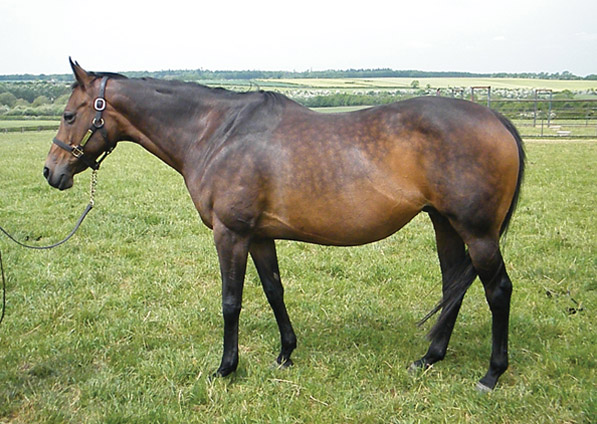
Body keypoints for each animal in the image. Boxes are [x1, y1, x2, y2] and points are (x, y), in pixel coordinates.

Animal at [44, 59, 524, 390]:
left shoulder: (230, 233)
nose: (51, 172)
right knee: (453, 284)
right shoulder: (258, 236)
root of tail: (496, 118)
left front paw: (226, 368)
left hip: (478, 232)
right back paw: (430, 357)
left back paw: (491, 374)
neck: (218, 133)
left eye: (68, 115)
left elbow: (231, 301)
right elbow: (274, 290)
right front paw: (285, 354)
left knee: (497, 290)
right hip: (445, 224)